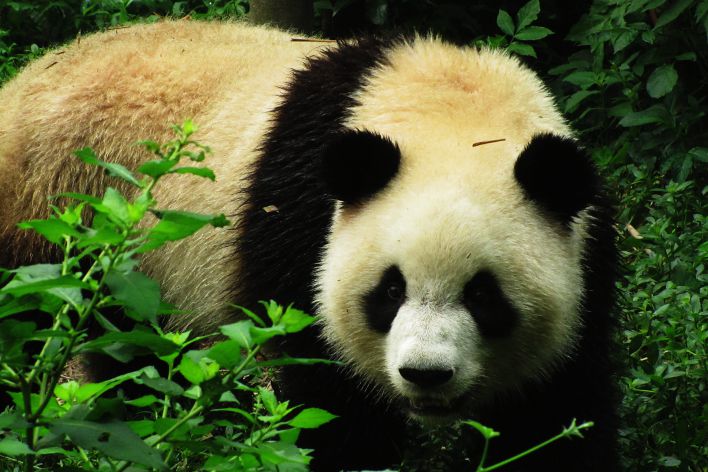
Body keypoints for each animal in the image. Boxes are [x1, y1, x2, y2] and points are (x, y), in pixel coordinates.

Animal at [0, 20, 619, 471]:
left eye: (484, 296)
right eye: (389, 291)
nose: (425, 375)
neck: (453, 117)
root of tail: (24, 78)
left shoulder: (584, 250)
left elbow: (558, 402)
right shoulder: (298, 228)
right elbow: (327, 392)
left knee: (137, 353)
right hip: (52, 208)